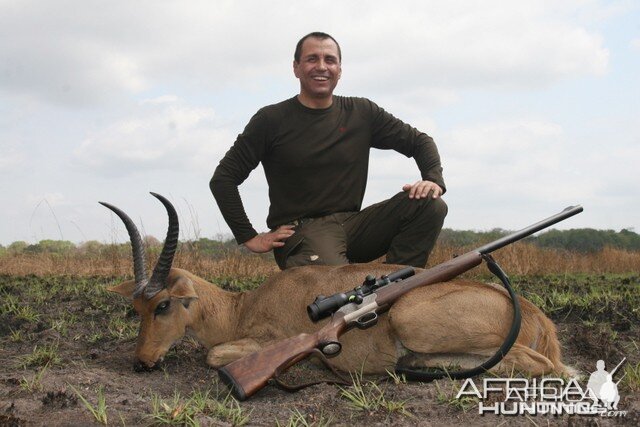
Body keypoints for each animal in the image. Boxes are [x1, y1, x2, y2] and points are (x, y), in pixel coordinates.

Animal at [101, 193, 576, 378]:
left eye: (163, 305)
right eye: (136, 309)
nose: (141, 361)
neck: (242, 307)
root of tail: (536, 316)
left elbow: (214, 355)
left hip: (410, 318)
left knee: (544, 366)